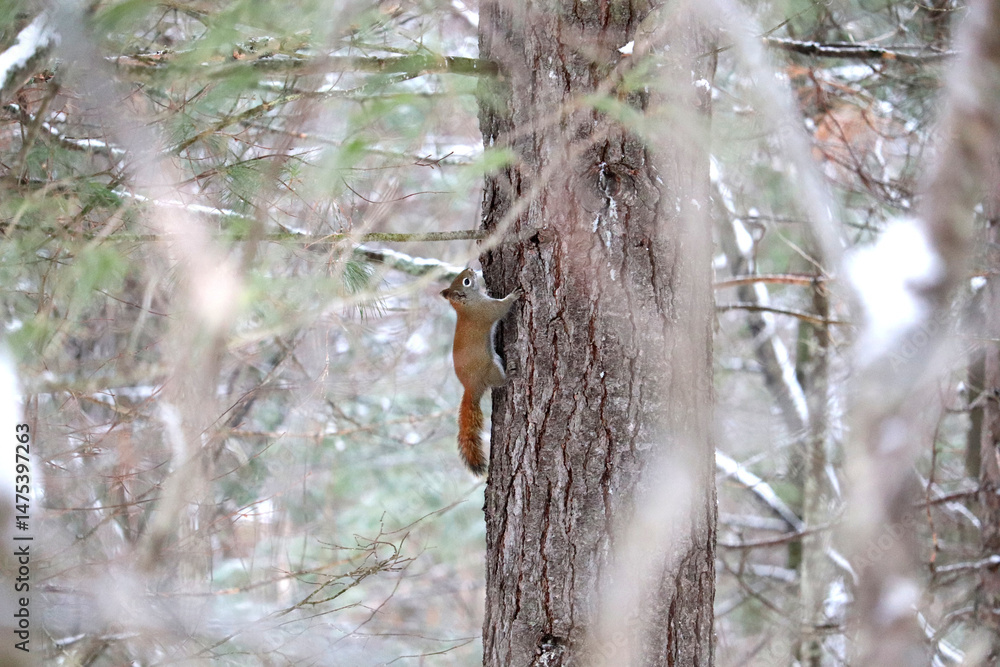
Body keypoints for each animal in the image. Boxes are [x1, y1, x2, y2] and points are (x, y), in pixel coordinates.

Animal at [440, 268, 522, 475]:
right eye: (466, 282)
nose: (470, 269)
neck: (467, 305)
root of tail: (471, 386)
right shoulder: (485, 311)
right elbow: (500, 309)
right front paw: (514, 295)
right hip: (491, 367)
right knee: (499, 382)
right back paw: (510, 373)